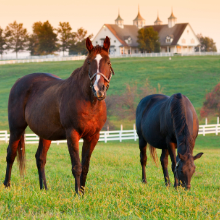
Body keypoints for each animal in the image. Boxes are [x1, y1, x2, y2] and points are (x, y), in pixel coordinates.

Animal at [3, 36, 115, 194]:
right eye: (89, 62)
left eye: (108, 62)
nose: (99, 89)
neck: (89, 102)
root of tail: (19, 81)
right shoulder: (72, 134)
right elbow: (77, 166)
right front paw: (77, 194)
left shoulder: (93, 136)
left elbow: (85, 167)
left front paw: (82, 192)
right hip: (16, 129)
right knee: (11, 155)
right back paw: (7, 185)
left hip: (45, 134)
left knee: (40, 158)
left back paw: (44, 188)